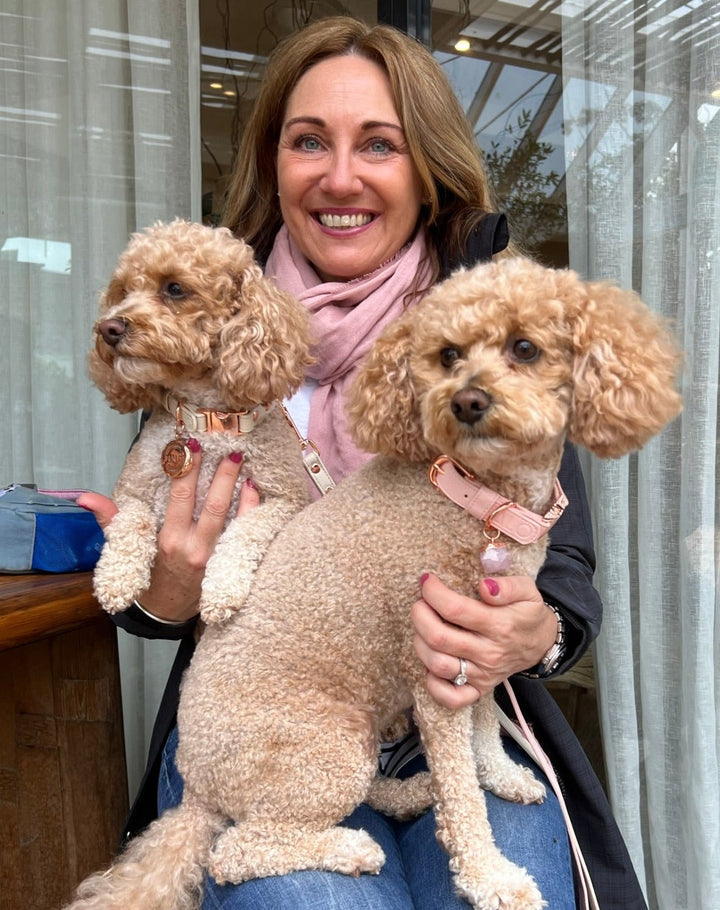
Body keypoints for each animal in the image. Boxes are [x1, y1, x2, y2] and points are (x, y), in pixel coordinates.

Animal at [66, 258, 680, 910]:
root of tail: (198, 792)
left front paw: (502, 773)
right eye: (447, 355)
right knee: (234, 850)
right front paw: (490, 876)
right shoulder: (435, 674)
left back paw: (409, 795)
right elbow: (462, 794)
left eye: (525, 348)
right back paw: (352, 846)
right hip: (326, 750)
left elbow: (487, 720)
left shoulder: (483, 641)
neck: (477, 497)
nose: (467, 400)